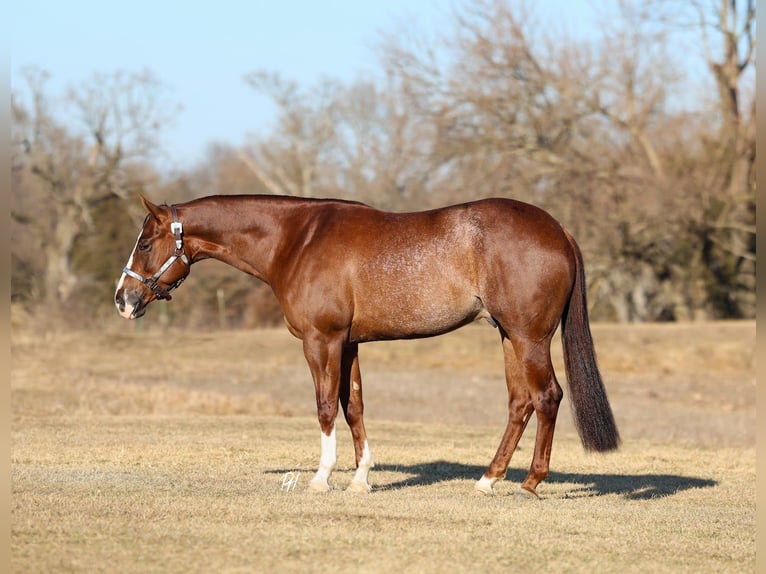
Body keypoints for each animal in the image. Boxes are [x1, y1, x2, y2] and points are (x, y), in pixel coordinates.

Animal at [115, 194, 620, 496]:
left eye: (145, 243)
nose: (123, 298)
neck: (297, 240)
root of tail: (557, 229)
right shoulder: (350, 344)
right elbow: (353, 405)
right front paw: (360, 479)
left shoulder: (322, 341)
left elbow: (324, 406)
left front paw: (321, 478)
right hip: (508, 335)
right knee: (520, 402)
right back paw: (487, 479)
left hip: (529, 337)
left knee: (547, 396)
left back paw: (530, 482)